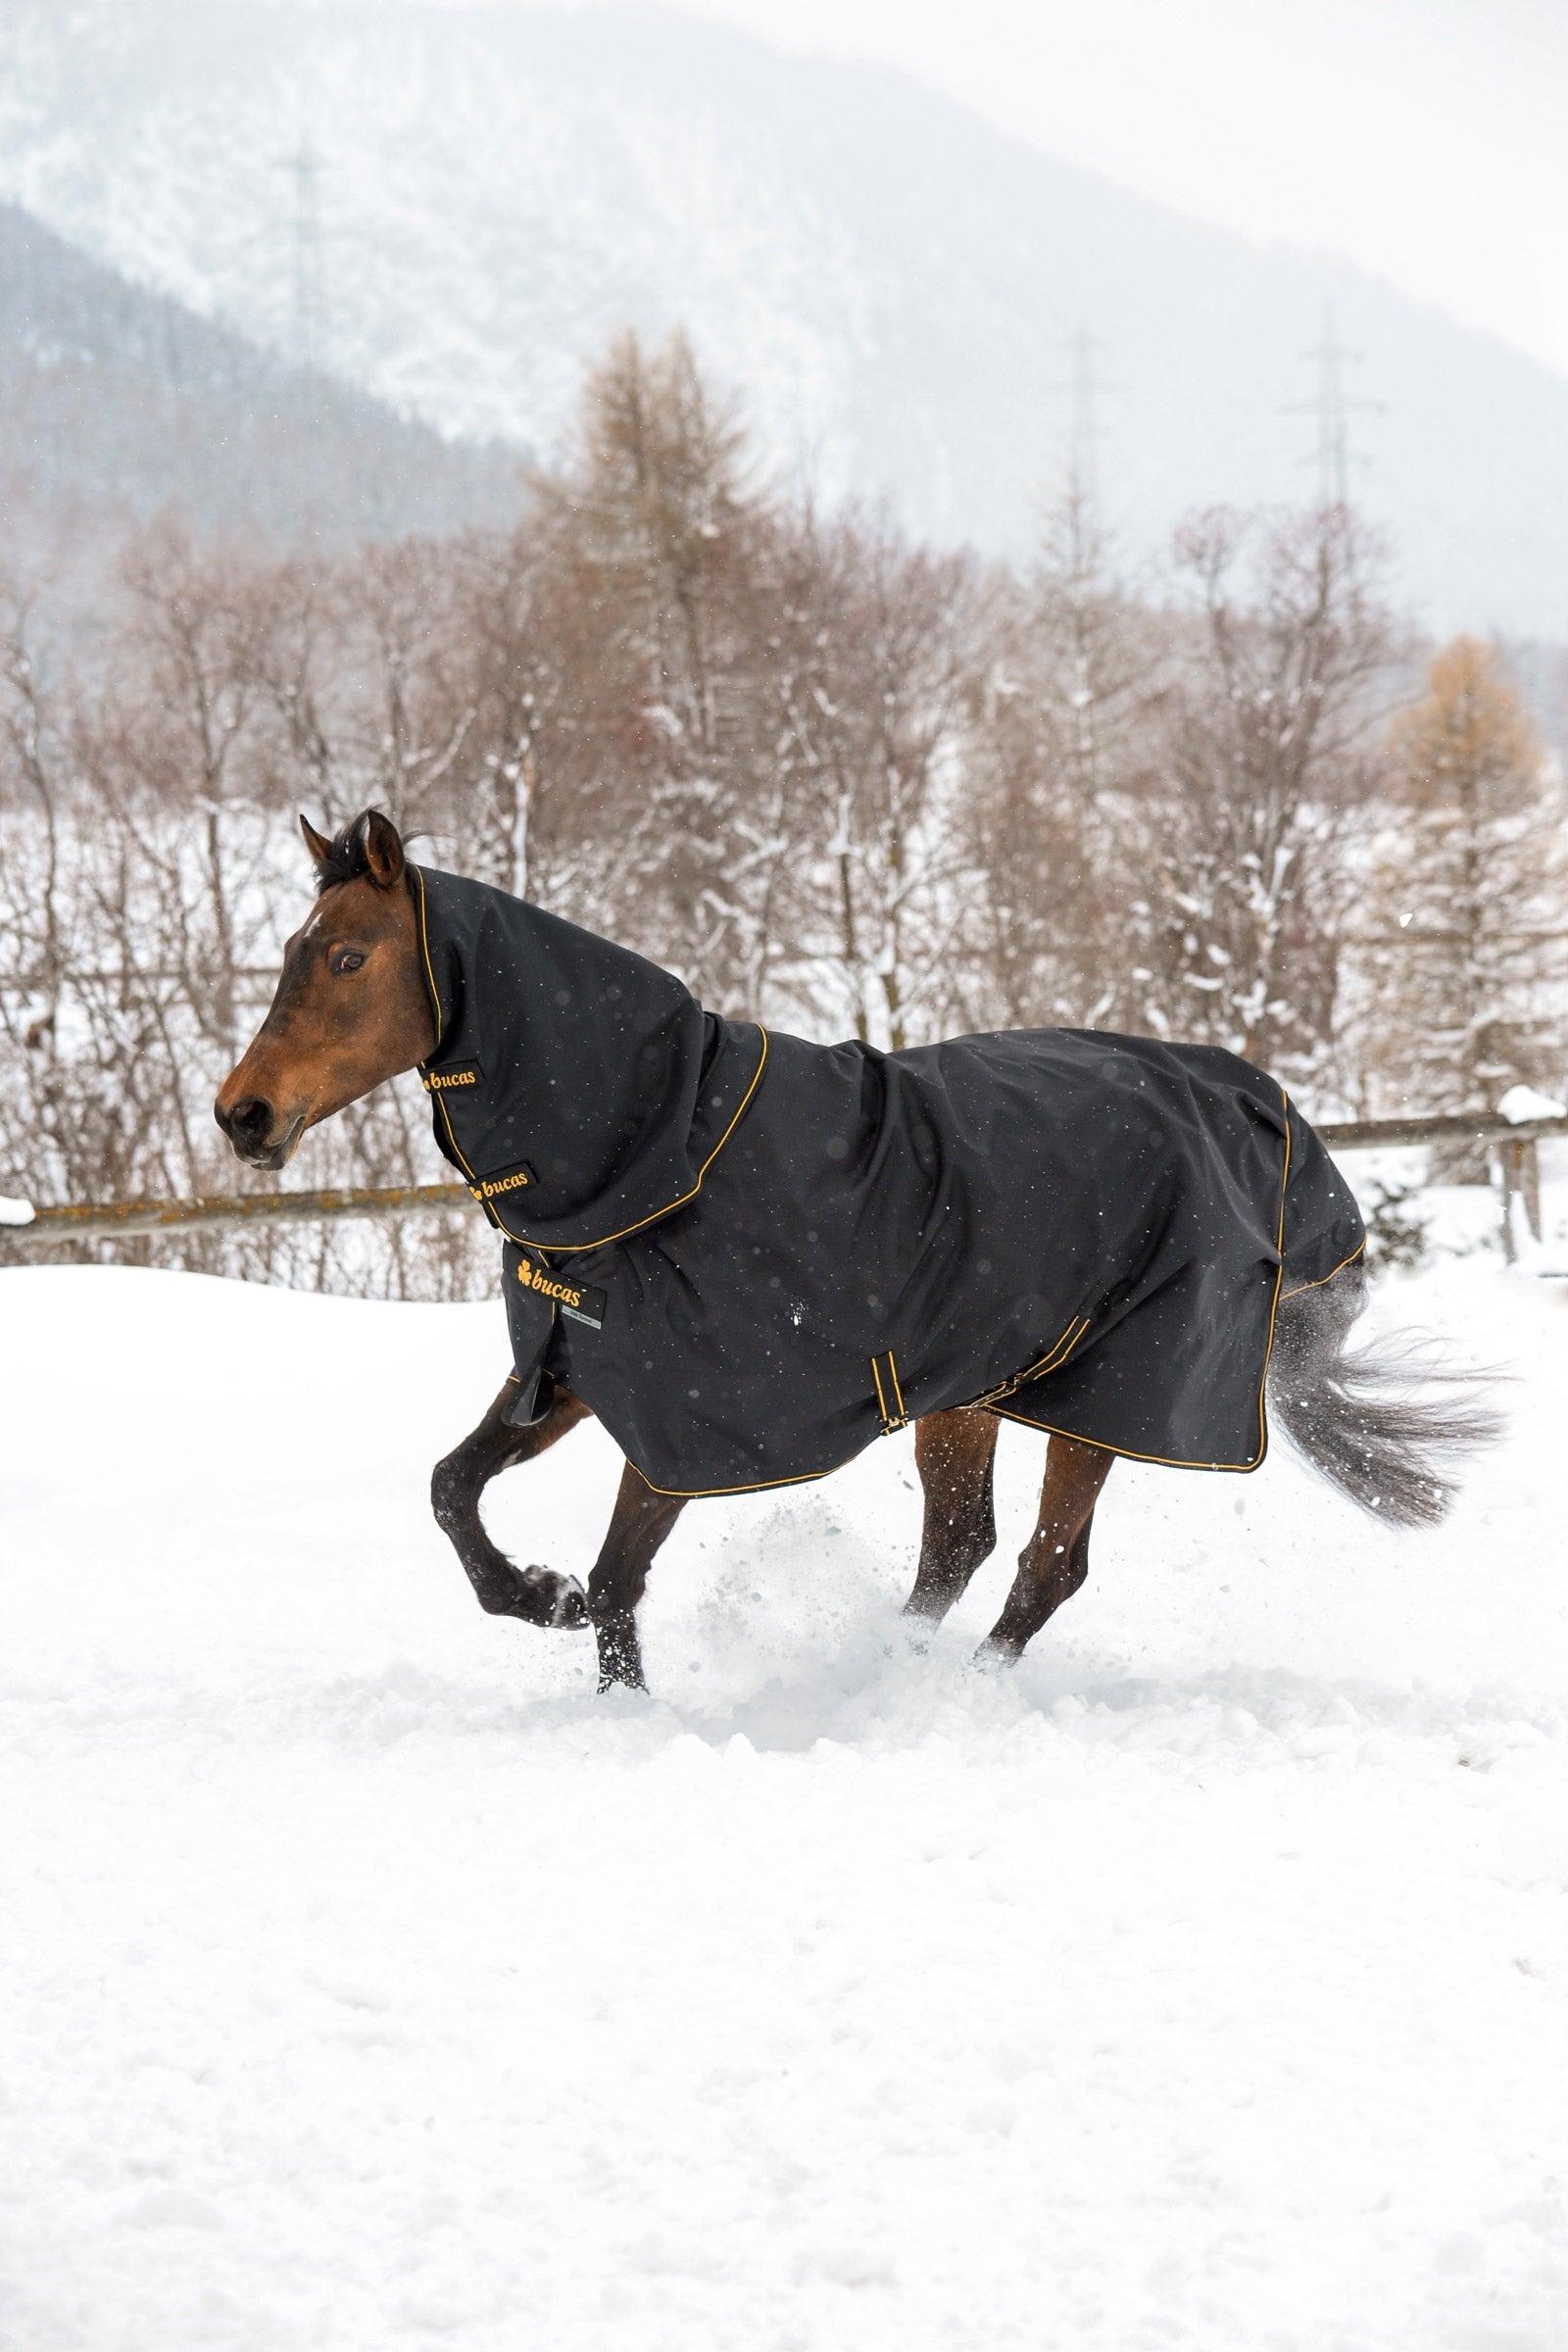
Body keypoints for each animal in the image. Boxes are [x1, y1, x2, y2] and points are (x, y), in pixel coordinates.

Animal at [215, 809, 1495, 1694]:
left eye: (346, 958)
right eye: (289, 948)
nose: (243, 1116)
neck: (652, 1152)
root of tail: (1266, 1117)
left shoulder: (693, 1419)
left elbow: (623, 1574)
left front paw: (607, 1679)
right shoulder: (573, 1371)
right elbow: (451, 1489)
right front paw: (537, 1594)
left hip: (1106, 1397)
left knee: (1044, 1564)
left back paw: (938, 1693)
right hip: (970, 1393)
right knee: (960, 1547)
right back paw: (894, 1666)